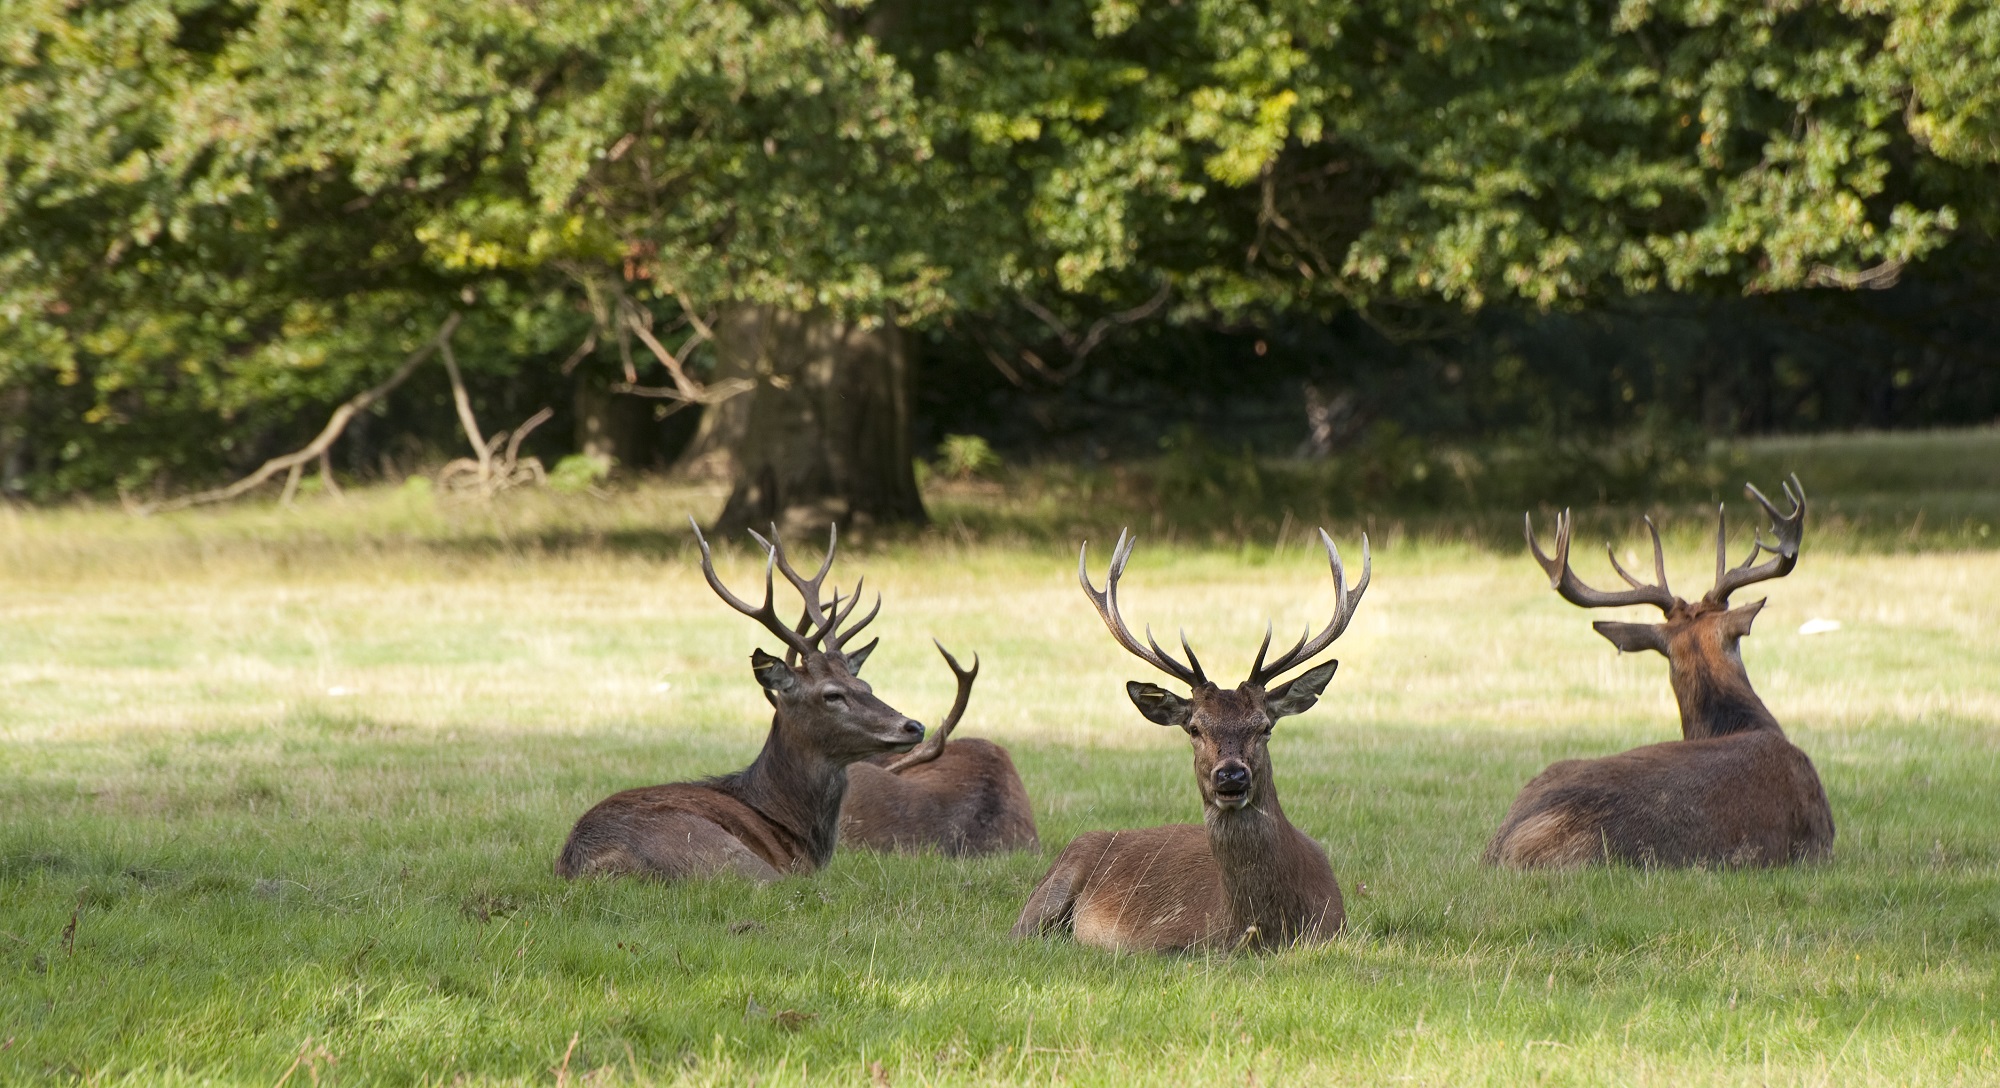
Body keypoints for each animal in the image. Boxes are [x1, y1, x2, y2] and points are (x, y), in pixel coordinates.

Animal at [556, 520, 928, 884]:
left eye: (865, 684)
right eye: (832, 694)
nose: (914, 726)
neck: (790, 824)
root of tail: (598, 863)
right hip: (725, 853)